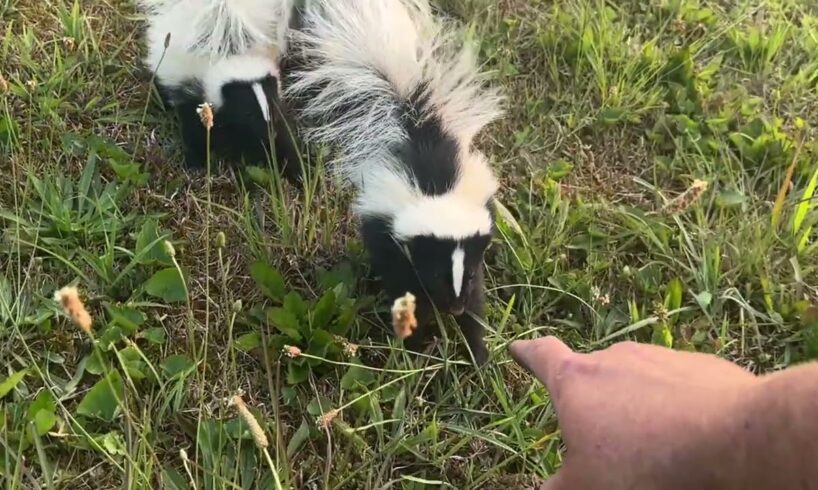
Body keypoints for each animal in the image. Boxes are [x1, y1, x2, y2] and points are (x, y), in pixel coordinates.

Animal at [140, 0, 300, 176]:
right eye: (248, 113)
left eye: (273, 109)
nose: (270, 132)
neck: (233, 57)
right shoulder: (194, 97)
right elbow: (196, 136)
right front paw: (195, 165)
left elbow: (283, 140)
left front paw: (294, 170)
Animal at [286, 0, 504, 364]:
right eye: (436, 273)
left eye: (470, 273)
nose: (454, 308)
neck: (437, 194)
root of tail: (417, 128)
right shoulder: (400, 250)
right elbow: (410, 296)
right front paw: (415, 351)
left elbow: (477, 307)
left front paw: (478, 353)